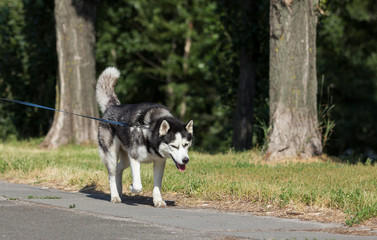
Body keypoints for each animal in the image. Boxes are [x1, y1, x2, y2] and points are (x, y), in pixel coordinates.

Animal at [95, 66, 194, 207]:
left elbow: (157, 185)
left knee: (119, 169)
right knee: (112, 175)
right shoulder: (134, 158)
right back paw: (115, 196)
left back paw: (119, 191)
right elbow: (138, 185)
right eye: (173, 146)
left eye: (186, 144)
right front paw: (132, 187)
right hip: (112, 155)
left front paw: (158, 200)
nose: (185, 160)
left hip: (125, 158)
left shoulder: (159, 162)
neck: (150, 131)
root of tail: (113, 106)